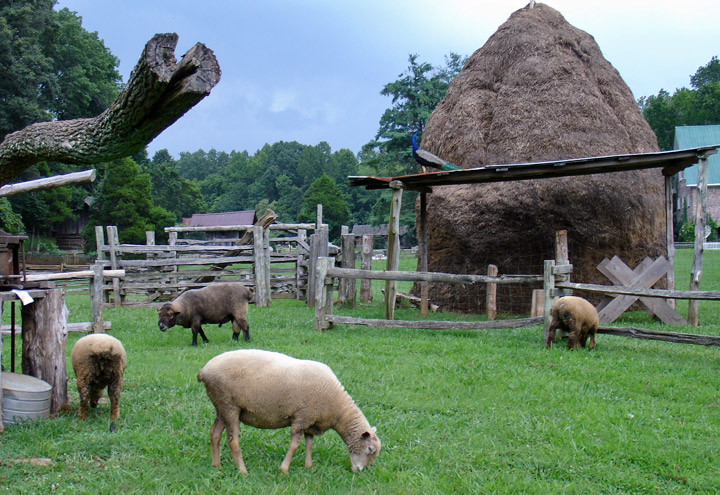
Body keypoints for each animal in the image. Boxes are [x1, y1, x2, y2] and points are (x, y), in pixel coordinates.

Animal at [194, 348, 380, 472]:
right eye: (370, 450)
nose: (363, 472)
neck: (338, 410)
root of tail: (204, 371)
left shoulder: (310, 421)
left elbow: (309, 444)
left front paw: (308, 466)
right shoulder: (302, 418)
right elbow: (294, 446)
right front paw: (284, 469)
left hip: (222, 406)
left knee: (214, 434)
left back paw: (216, 465)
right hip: (229, 405)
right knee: (232, 441)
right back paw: (243, 471)